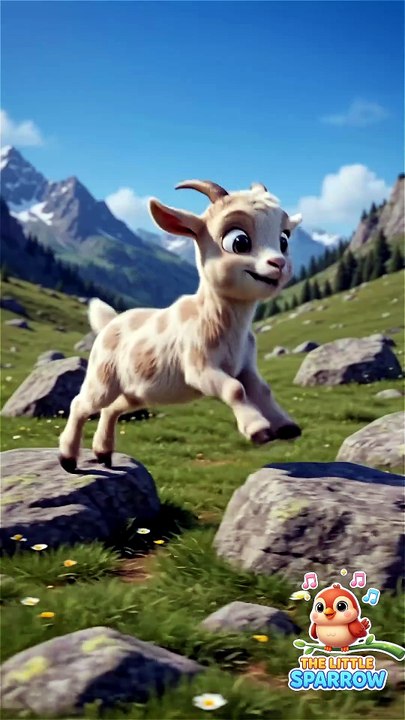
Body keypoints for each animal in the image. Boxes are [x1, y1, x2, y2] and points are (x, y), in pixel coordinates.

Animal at [59, 179, 302, 472]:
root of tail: (109, 322)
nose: (279, 263)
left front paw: (287, 426)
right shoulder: (199, 367)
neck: (218, 320)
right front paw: (257, 429)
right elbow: (235, 389)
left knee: (112, 409)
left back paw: (104, 454)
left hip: (136, 391)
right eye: (239, 241)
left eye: (284, 239)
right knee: (81, 404)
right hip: (102, 378)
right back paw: (68, 458)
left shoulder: (245, 366)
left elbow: (261, 389)